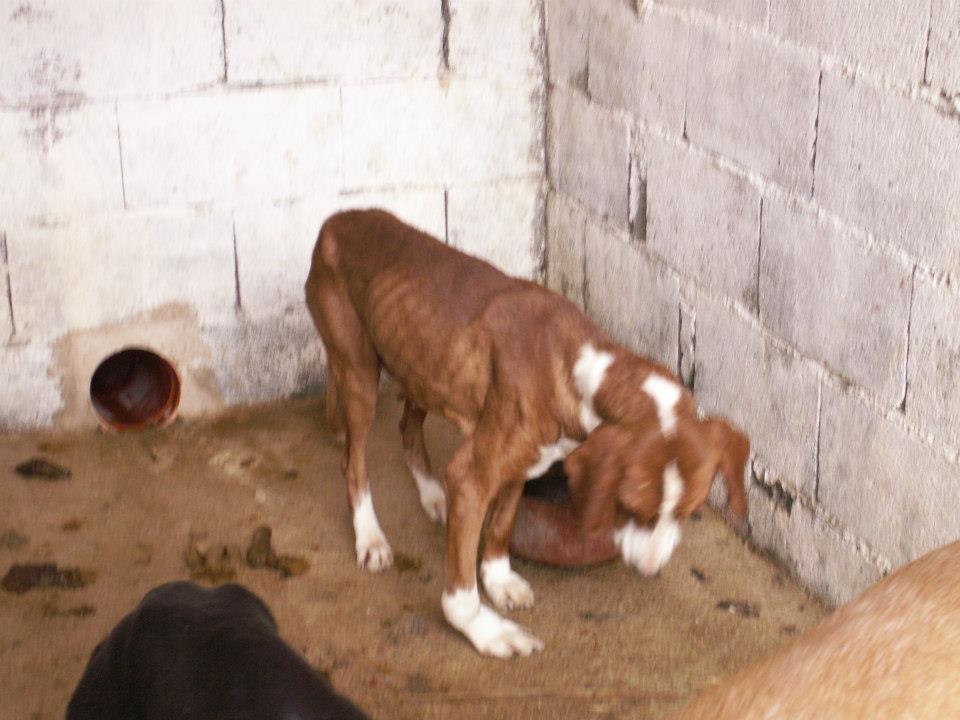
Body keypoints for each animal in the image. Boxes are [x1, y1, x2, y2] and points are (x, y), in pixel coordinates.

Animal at [305, 209, 749, 657]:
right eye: (628, 508)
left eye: (689, 512)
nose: (650, 570)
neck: (577, 371)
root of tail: (335, 219)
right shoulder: (472, 478)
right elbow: (460, 596)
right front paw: (487, 631)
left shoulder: (526, 464)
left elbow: (501, 526)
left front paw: (499, 580)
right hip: (359, 373)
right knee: (353, 461)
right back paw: (370, 537)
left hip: (420, 365)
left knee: (407, 427)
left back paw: (431, 494)